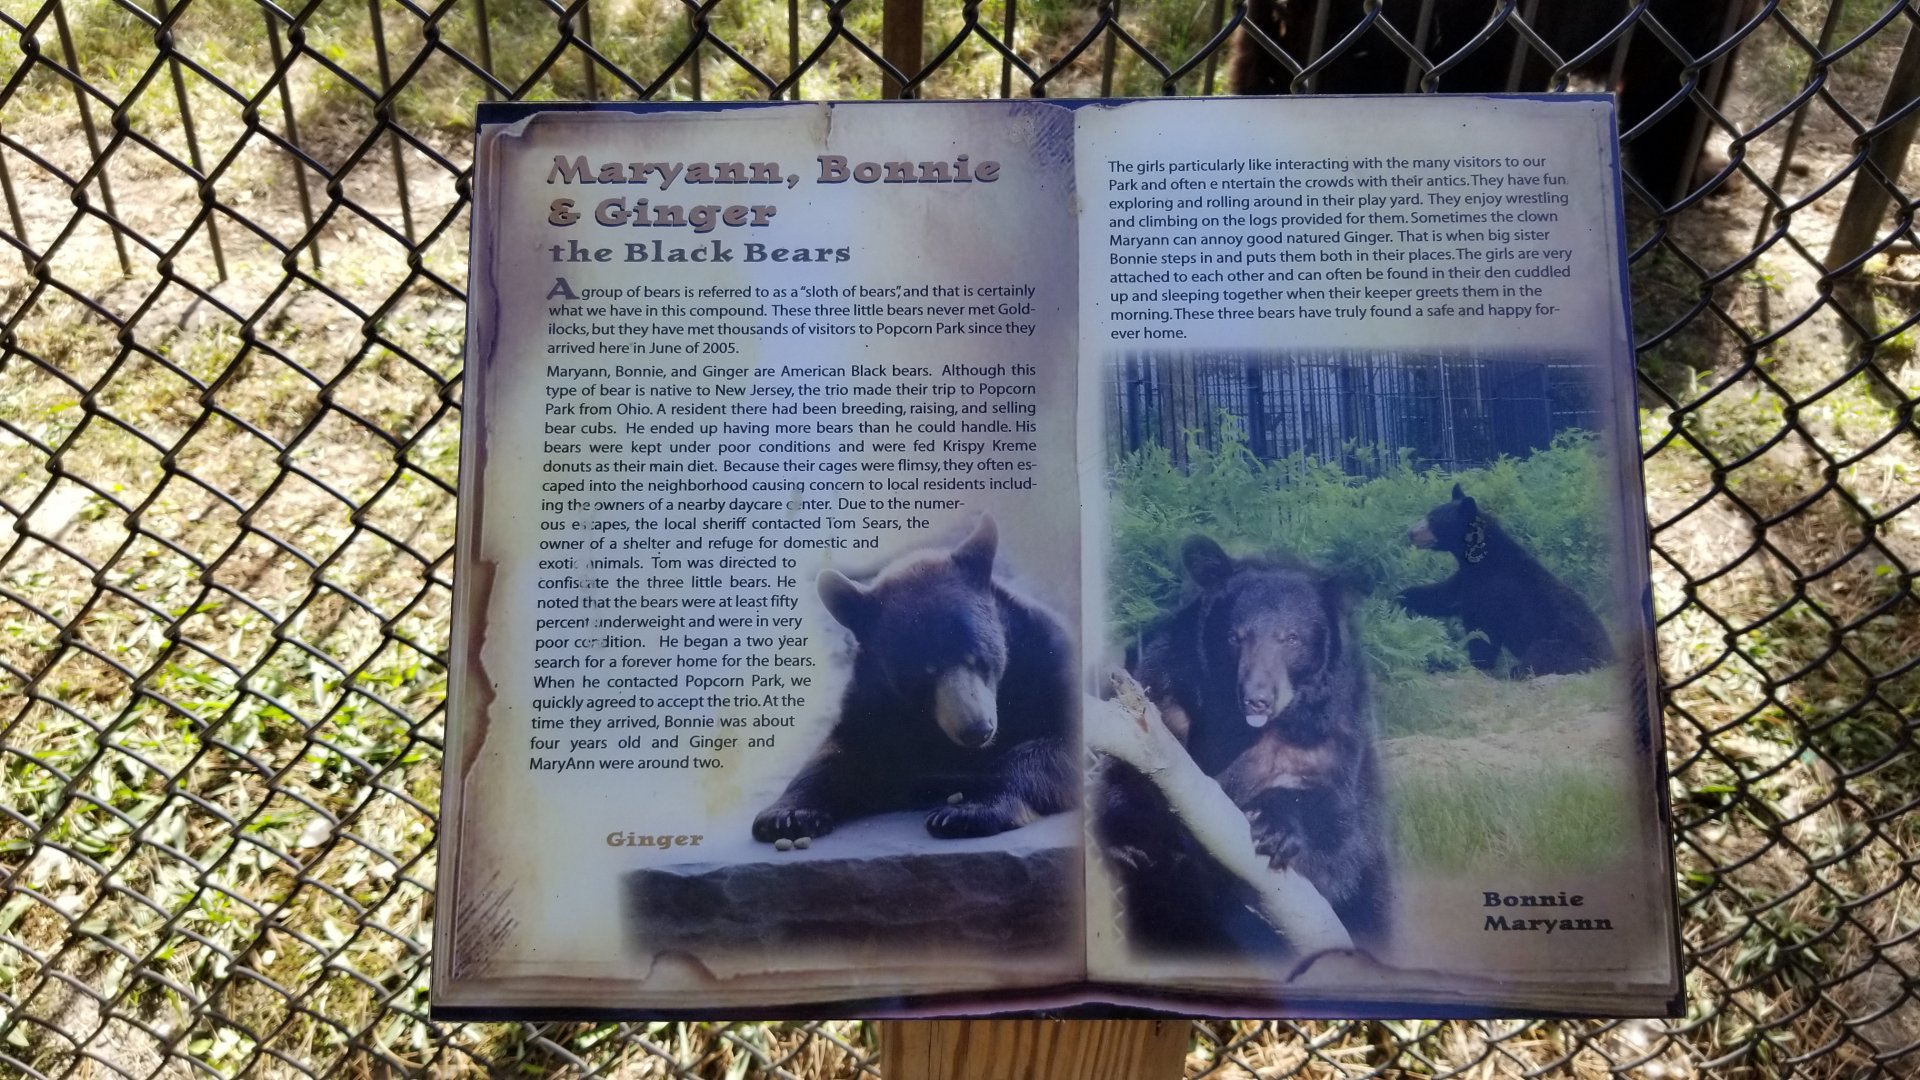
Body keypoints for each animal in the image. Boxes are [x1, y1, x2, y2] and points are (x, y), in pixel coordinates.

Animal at [752, 517, 1079, 843]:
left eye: (978, 655)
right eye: (925, 671)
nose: (977, 730)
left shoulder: (1047, 664)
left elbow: (1053, 748)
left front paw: (966, 812)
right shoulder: (872, 703)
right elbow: (839, 754)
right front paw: (786, 817)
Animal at [1096, 537, 1391, 951]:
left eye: (1292, 638)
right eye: (1235, 636)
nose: (1257, 699)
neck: (1239, 727)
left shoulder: (1329, 736)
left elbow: (1335, 828)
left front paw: (1276, 828)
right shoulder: (1167, 704)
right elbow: (1131, 776)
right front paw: (1134, 841)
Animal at [1396, 483, 1614, 677]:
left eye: (1433, 519)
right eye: (1429, 514)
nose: (1411, 533)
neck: (1485, 560)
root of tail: (1611, 656)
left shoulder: (1495, 589)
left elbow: (1482, 631)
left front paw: (1475, 664)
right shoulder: (1467, 579)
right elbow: (1442, 595)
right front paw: (1401, 597)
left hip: (1569, 644)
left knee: (1544, 653)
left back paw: (1517, 670)